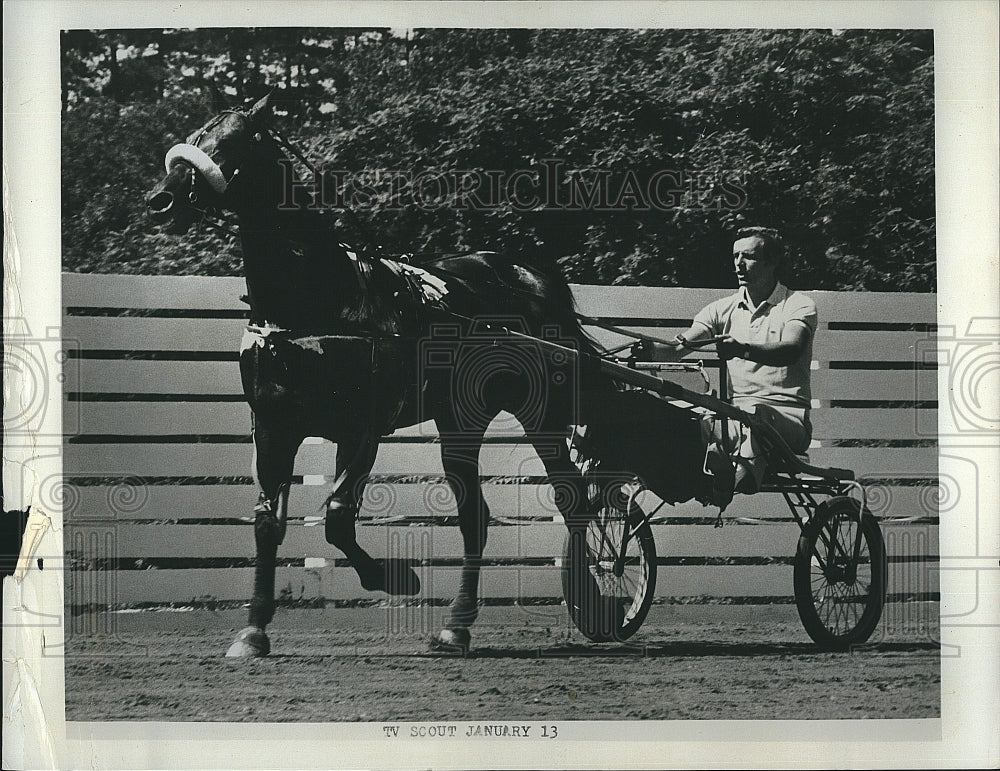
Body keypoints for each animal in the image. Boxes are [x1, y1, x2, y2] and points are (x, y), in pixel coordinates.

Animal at [144, 93, 612, 656]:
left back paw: (592, 603)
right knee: (474, 516)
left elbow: (337, 516)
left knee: (572, 496)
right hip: (460, 418)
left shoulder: (361, 427)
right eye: (197, 133)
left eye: (234, 141)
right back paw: (456, 626)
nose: (161, 199)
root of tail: (532, 276)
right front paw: (253, 630)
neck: (320, 298)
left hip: (538, 409)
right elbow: (267, 524)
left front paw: (393, 577)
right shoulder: (275, 427)